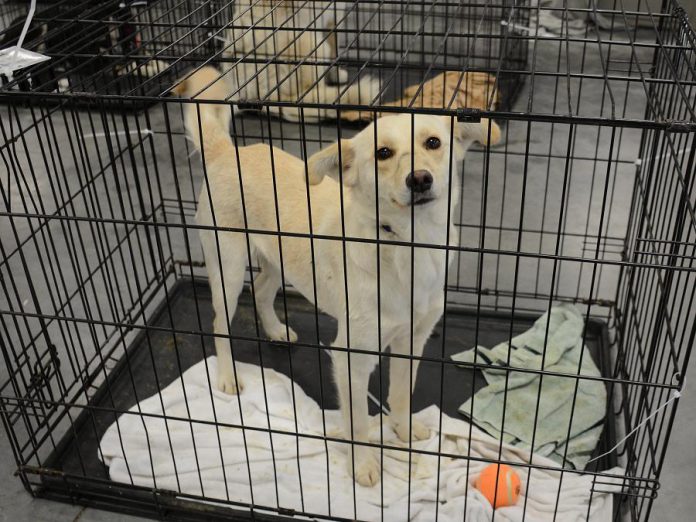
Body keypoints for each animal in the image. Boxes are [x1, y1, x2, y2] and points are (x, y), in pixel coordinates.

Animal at [175, 67, 500, 486]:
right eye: (382, 153)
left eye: (433, 142)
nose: (421, 179)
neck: (406, 246)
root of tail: (227, 151)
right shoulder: (352, 358)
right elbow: (358, 421)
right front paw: (363, 465)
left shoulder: (412, 339)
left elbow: (400, 394)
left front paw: (404, 430)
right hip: (227, 267)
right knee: (220, 322)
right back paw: (229, 376)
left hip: (280, 259)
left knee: (261, 290)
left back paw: (275, 330)